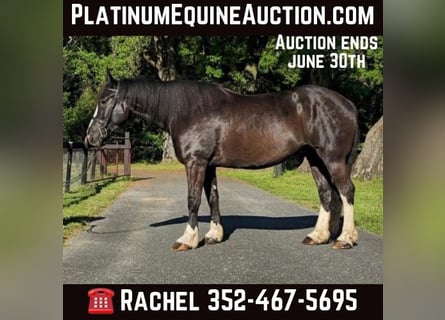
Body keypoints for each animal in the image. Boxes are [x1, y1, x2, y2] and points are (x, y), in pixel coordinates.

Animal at [85, 72, 360, 250]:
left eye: (104, 101)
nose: (90, 138)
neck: (186, 110)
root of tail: (347, 103)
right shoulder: (209, 165)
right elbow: (213, 198)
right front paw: (214, 235)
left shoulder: (196, 163)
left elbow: (193, 199)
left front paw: (187, 239)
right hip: (315, 159)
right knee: (326, 194)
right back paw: (318, 236)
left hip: (333, 159)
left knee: (346, 191)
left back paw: (345, 239)